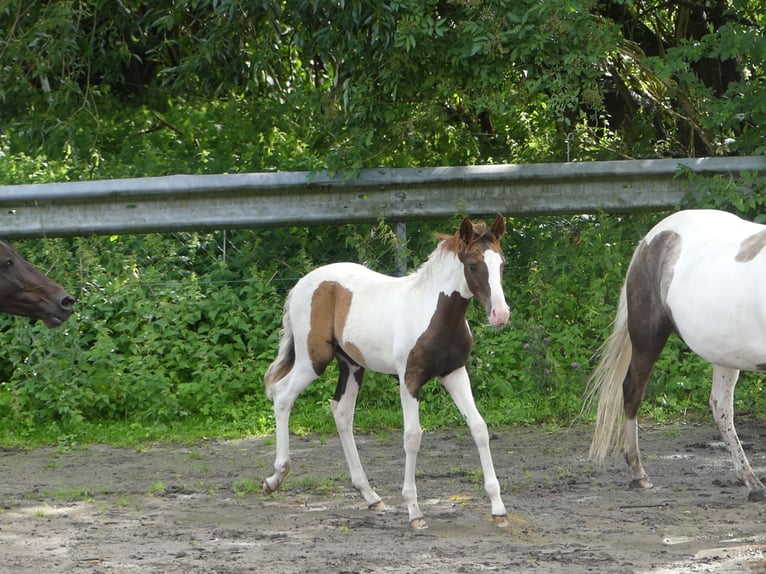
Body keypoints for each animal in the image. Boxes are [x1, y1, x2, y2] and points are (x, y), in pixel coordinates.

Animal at [588, 209, 766, 502]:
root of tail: (650, 239)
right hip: (648, 336)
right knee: (633, 390)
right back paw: (639, 473)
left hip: (724, 353)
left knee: (721, 407)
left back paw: (750, 481)